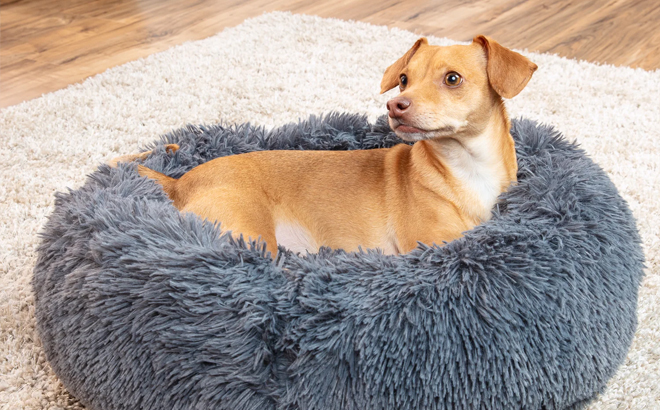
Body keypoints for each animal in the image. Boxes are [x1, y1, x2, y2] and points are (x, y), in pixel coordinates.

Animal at [114, 36, 536, 258]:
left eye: (452, 79)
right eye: (403, 79)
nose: (395, 105)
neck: (465, 165)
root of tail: (179, 182)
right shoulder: (431, 245)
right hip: (250, 233)